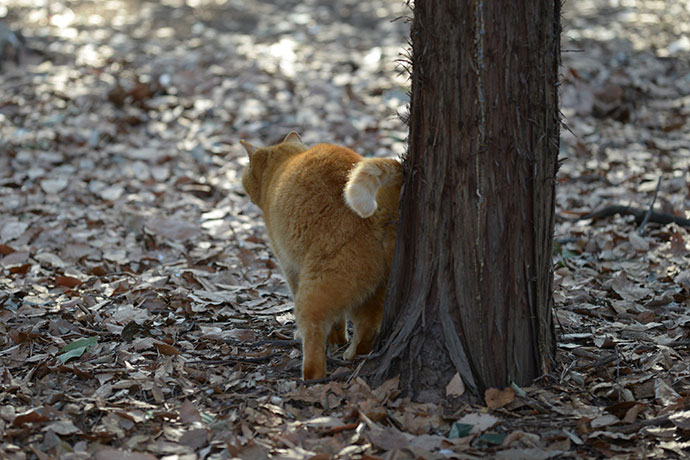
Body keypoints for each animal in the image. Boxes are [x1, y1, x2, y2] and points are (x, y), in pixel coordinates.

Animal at [242, 131, 404, 380]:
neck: (282, 167)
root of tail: (380, 212)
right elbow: (339, 322)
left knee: (315, 333)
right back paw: (352, 354)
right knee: (367, 328)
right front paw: (338, 340)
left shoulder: (290, 267)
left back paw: (310, 376)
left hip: (317, 288)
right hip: (377, 289)